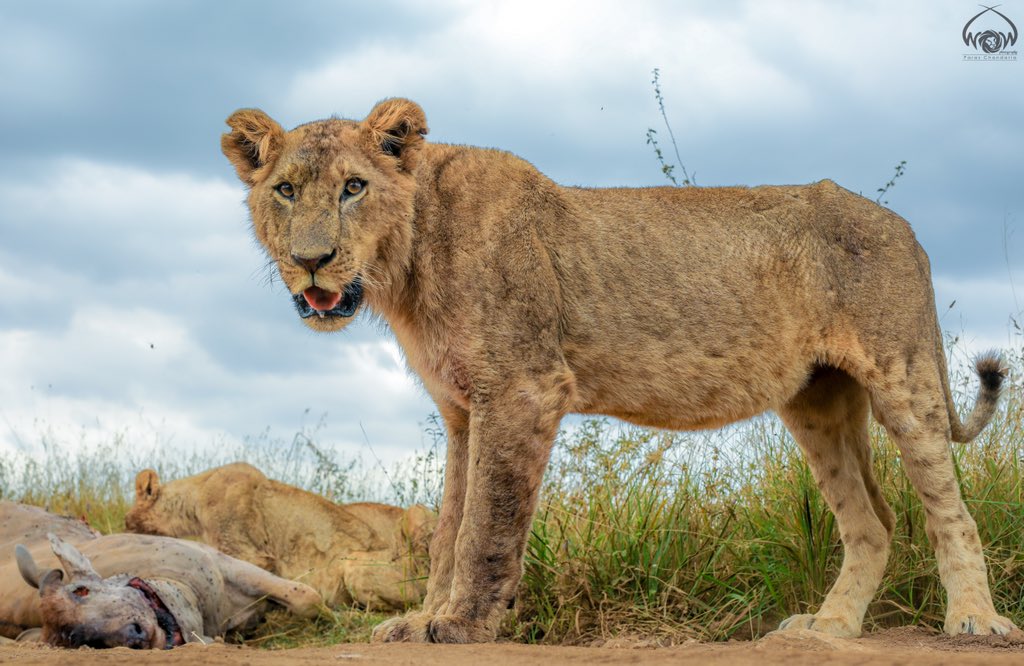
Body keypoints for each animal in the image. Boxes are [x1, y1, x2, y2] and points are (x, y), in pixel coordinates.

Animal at [219, 98, 1014, 643]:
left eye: (353, 187)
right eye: (285, 190)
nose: (312, 260)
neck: (404, 267)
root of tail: (906, 229)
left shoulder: (523, 388)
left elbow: (485, 525)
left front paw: (463, 624)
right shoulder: (462, 408)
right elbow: (449, 525)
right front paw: (421, 620)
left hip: (901, 373)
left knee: (949, 508)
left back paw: (976, 621)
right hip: (816, 401)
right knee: (873, 522)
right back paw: (828, 629)